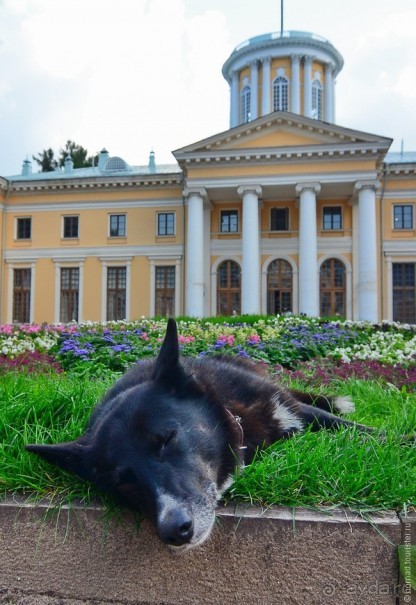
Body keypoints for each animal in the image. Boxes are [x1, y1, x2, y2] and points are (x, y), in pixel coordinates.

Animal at [26, 320, 370, 552]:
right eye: (122, 481)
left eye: (167, 439)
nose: (174, 531)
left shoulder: (288, 409)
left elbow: (355, 429)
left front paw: (383, 439)